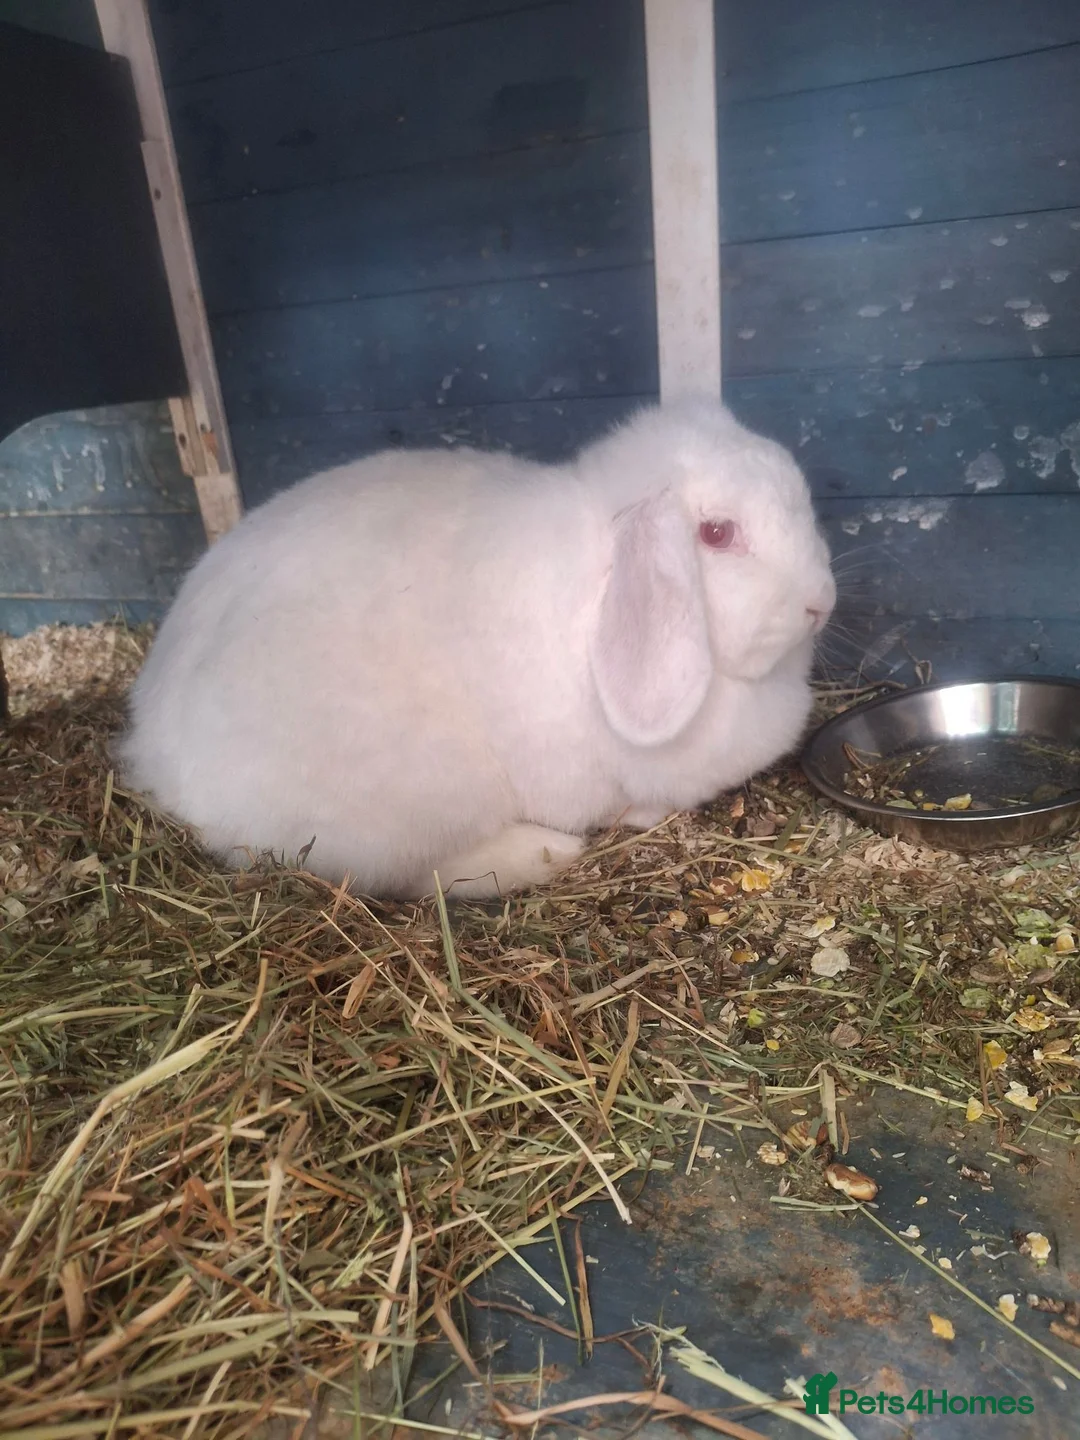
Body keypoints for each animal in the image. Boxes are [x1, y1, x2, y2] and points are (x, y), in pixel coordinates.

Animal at [117, 396, 836, 901]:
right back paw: (544, 854)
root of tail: (153, 755)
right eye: (716, 534)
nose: (821, 601)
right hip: (411, 801)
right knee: (411, 878)